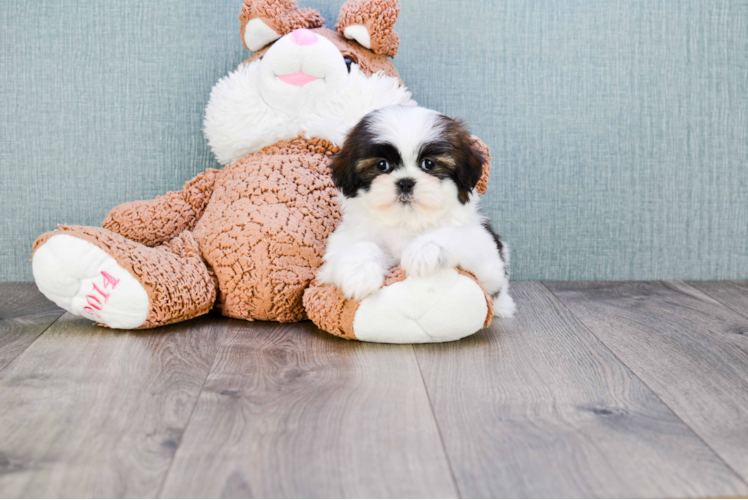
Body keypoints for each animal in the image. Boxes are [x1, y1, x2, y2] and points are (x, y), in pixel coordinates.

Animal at [316, 105, 516, 316]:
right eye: (382, 165)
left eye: (428, 164)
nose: (405, 182)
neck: (407, 220)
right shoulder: (340, 246)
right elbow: (359, 245)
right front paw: (359, 274)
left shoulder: (487, 259)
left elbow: (454, 234)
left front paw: (422, 252)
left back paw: (503, 306)